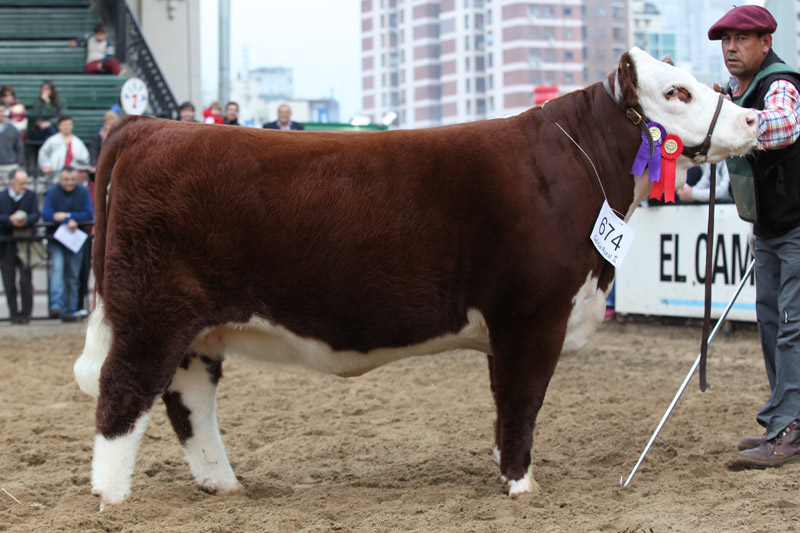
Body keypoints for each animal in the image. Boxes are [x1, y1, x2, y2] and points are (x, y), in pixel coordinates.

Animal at [73, 46, 756, 508]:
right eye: (678, 92)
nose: (751, 121)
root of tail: (151, 127)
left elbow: (504, 404)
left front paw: (504, 469)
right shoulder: (532, 314)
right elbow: (522, 400)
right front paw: (521, 484)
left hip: (196, 328)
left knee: (189, 401)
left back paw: (224, 484)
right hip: (152, 312)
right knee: (123, 392)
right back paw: (111, 498)